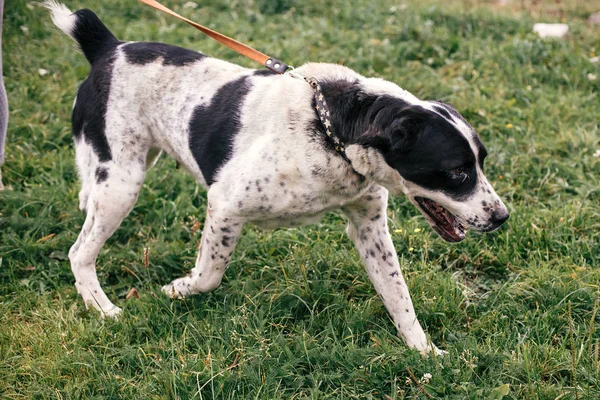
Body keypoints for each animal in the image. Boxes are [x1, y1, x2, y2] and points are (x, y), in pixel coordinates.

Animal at [47, 2, 508, 354]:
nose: (502, 217)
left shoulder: (369, 227)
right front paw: (178, 288)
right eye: (457, 171)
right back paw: (102, 309)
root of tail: (109, 47)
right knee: (79, 252)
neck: (330, 129)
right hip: (123, 183)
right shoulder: (225, 205)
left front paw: (424, 352)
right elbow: (209, 274)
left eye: (481, 162)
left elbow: (399, 297)